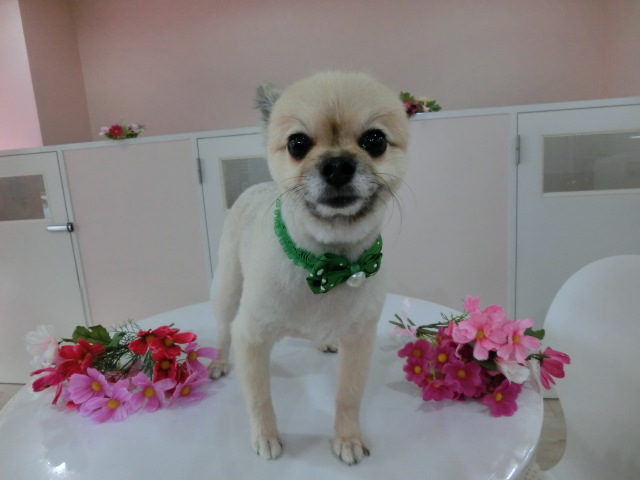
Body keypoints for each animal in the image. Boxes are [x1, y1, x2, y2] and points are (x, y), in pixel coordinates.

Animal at [207, 71, 409, 465]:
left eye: (375, 140)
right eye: (297, 144)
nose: (338, 164)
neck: (325, 263)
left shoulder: (359, 341)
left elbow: (348, 396)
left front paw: (347, 438)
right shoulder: (251, 337)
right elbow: (259, 397)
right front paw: (266, 436)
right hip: (227, 285)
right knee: (222, 327)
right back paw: (219, 361)